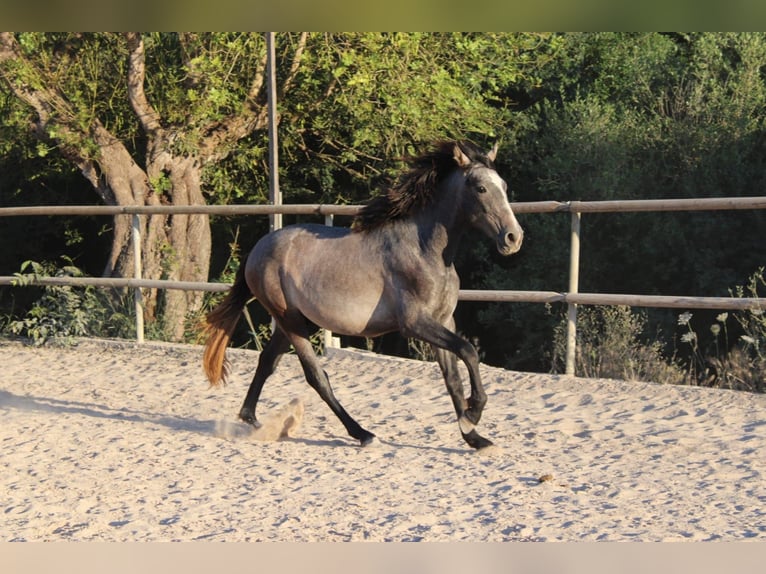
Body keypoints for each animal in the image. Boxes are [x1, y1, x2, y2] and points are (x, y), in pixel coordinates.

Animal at [202, 140, 524, 450]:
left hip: (297, 322)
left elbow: (453, 379)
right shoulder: (415, 323)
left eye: (504, 186)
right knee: (316, 376)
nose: (513, 238)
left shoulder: (444, 321)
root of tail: (259, 247)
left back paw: (252, 420)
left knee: (267, 362)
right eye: (480, 188)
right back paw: (363, 434)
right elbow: (469, 351)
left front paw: (475, 437)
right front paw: (473, 413)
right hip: (290, 321)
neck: (424, 251)